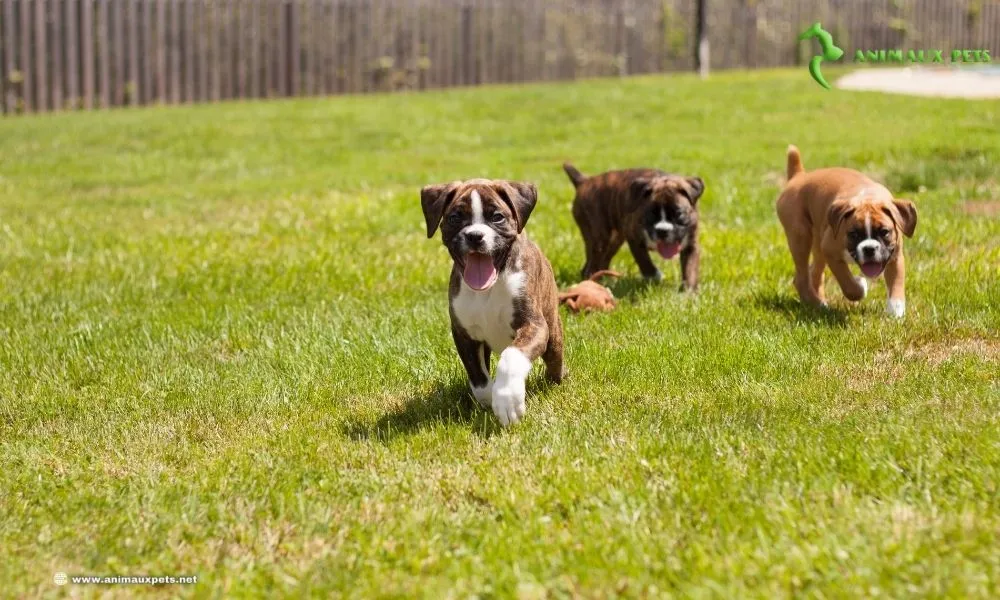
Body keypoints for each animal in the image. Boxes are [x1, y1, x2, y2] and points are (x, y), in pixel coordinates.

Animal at [420, 178, 568, 426]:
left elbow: (511, 356)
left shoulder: (533, 326)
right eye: (455, 217)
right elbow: (478, 377)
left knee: (554, 362)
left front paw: (507, 399)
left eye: (497, 217)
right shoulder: (465, 335)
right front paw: (490, 398)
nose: (474, 236)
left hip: (553, 335)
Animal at [564, 162, 704, 288]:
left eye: (678, 214)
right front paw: (655, 276)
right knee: (592, 264)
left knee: (599, 262)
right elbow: (644, 261)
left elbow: (690, 270)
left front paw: (688, 293)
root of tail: (584, 181)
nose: (662, 230)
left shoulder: (691, 246)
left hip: (613, 240)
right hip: (599, 239)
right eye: (651, 215)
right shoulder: (634, 239)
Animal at [776, 145, 916, 316]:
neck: (868, 197)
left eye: (884, 232)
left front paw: (895, 312)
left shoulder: (895, 256)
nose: (869, 249)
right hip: (800, 237)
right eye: (853, 234)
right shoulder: (830, 251)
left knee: (815, 273)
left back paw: (820, 302)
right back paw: (817, 304)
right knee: (801, 278)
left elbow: (896, 283)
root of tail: (799, 176)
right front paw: (860, 284)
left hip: (818, 243)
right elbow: (849, 285)